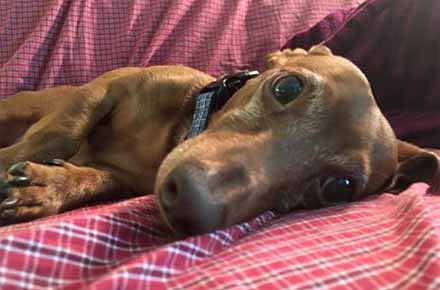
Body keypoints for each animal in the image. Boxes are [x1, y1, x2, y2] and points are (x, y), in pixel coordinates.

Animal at [0, 46, 438, 236]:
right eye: (287, 87)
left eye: (339, 187)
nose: (193, 206)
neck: (175, 131)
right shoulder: (109, 85)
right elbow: (62, 131)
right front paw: (15, 164)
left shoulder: (124, 178)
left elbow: (90, 177)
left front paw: (43, 187)